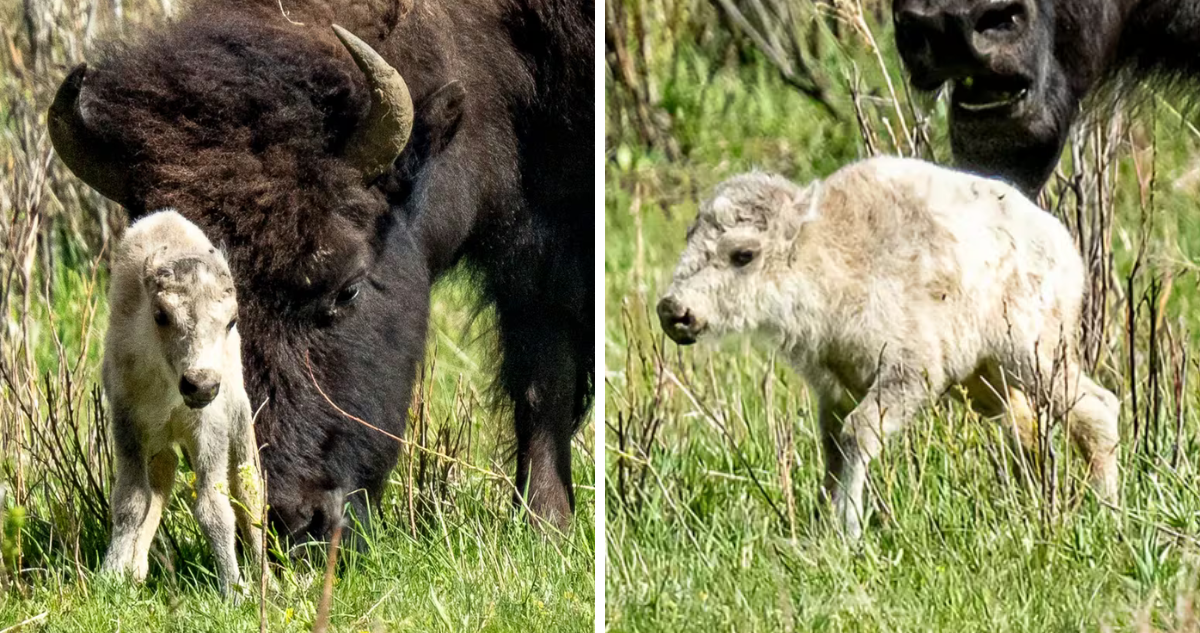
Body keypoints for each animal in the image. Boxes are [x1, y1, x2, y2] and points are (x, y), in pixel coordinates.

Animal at [50, 0, 594, 541]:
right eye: (161, 312)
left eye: (348, 289)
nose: (290, 521)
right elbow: (540, 378)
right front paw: (547, 526)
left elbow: (547, 382)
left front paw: (546, 528)